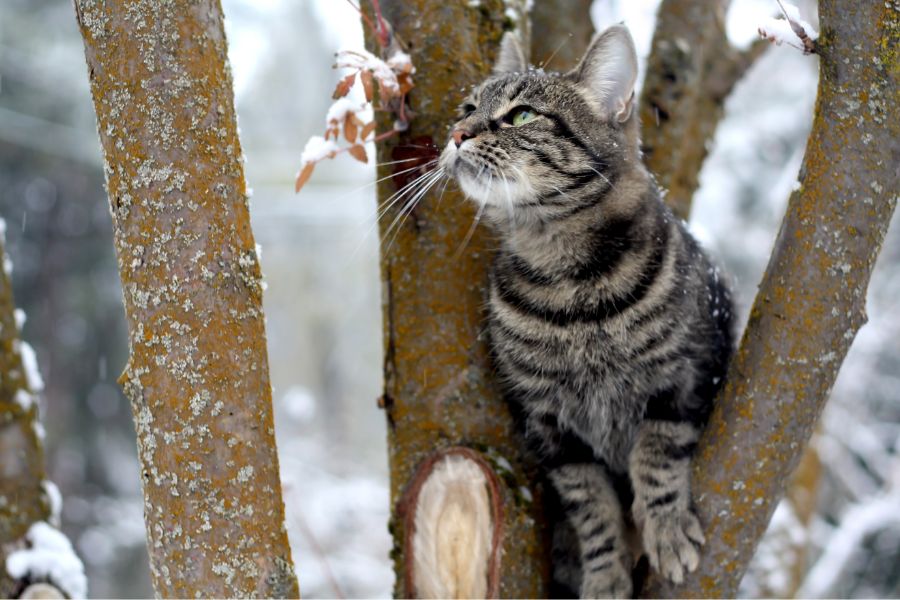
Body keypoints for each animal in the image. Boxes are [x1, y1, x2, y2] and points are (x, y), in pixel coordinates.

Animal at [440, 24, 736, 600]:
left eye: (522, 116)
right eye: (467, 106)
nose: (457, 133)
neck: (569, 289)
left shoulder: (688, 375)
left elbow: (656, 453)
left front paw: (665, 528)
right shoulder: (550, 427)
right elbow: (591, 508)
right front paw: (603, 576)